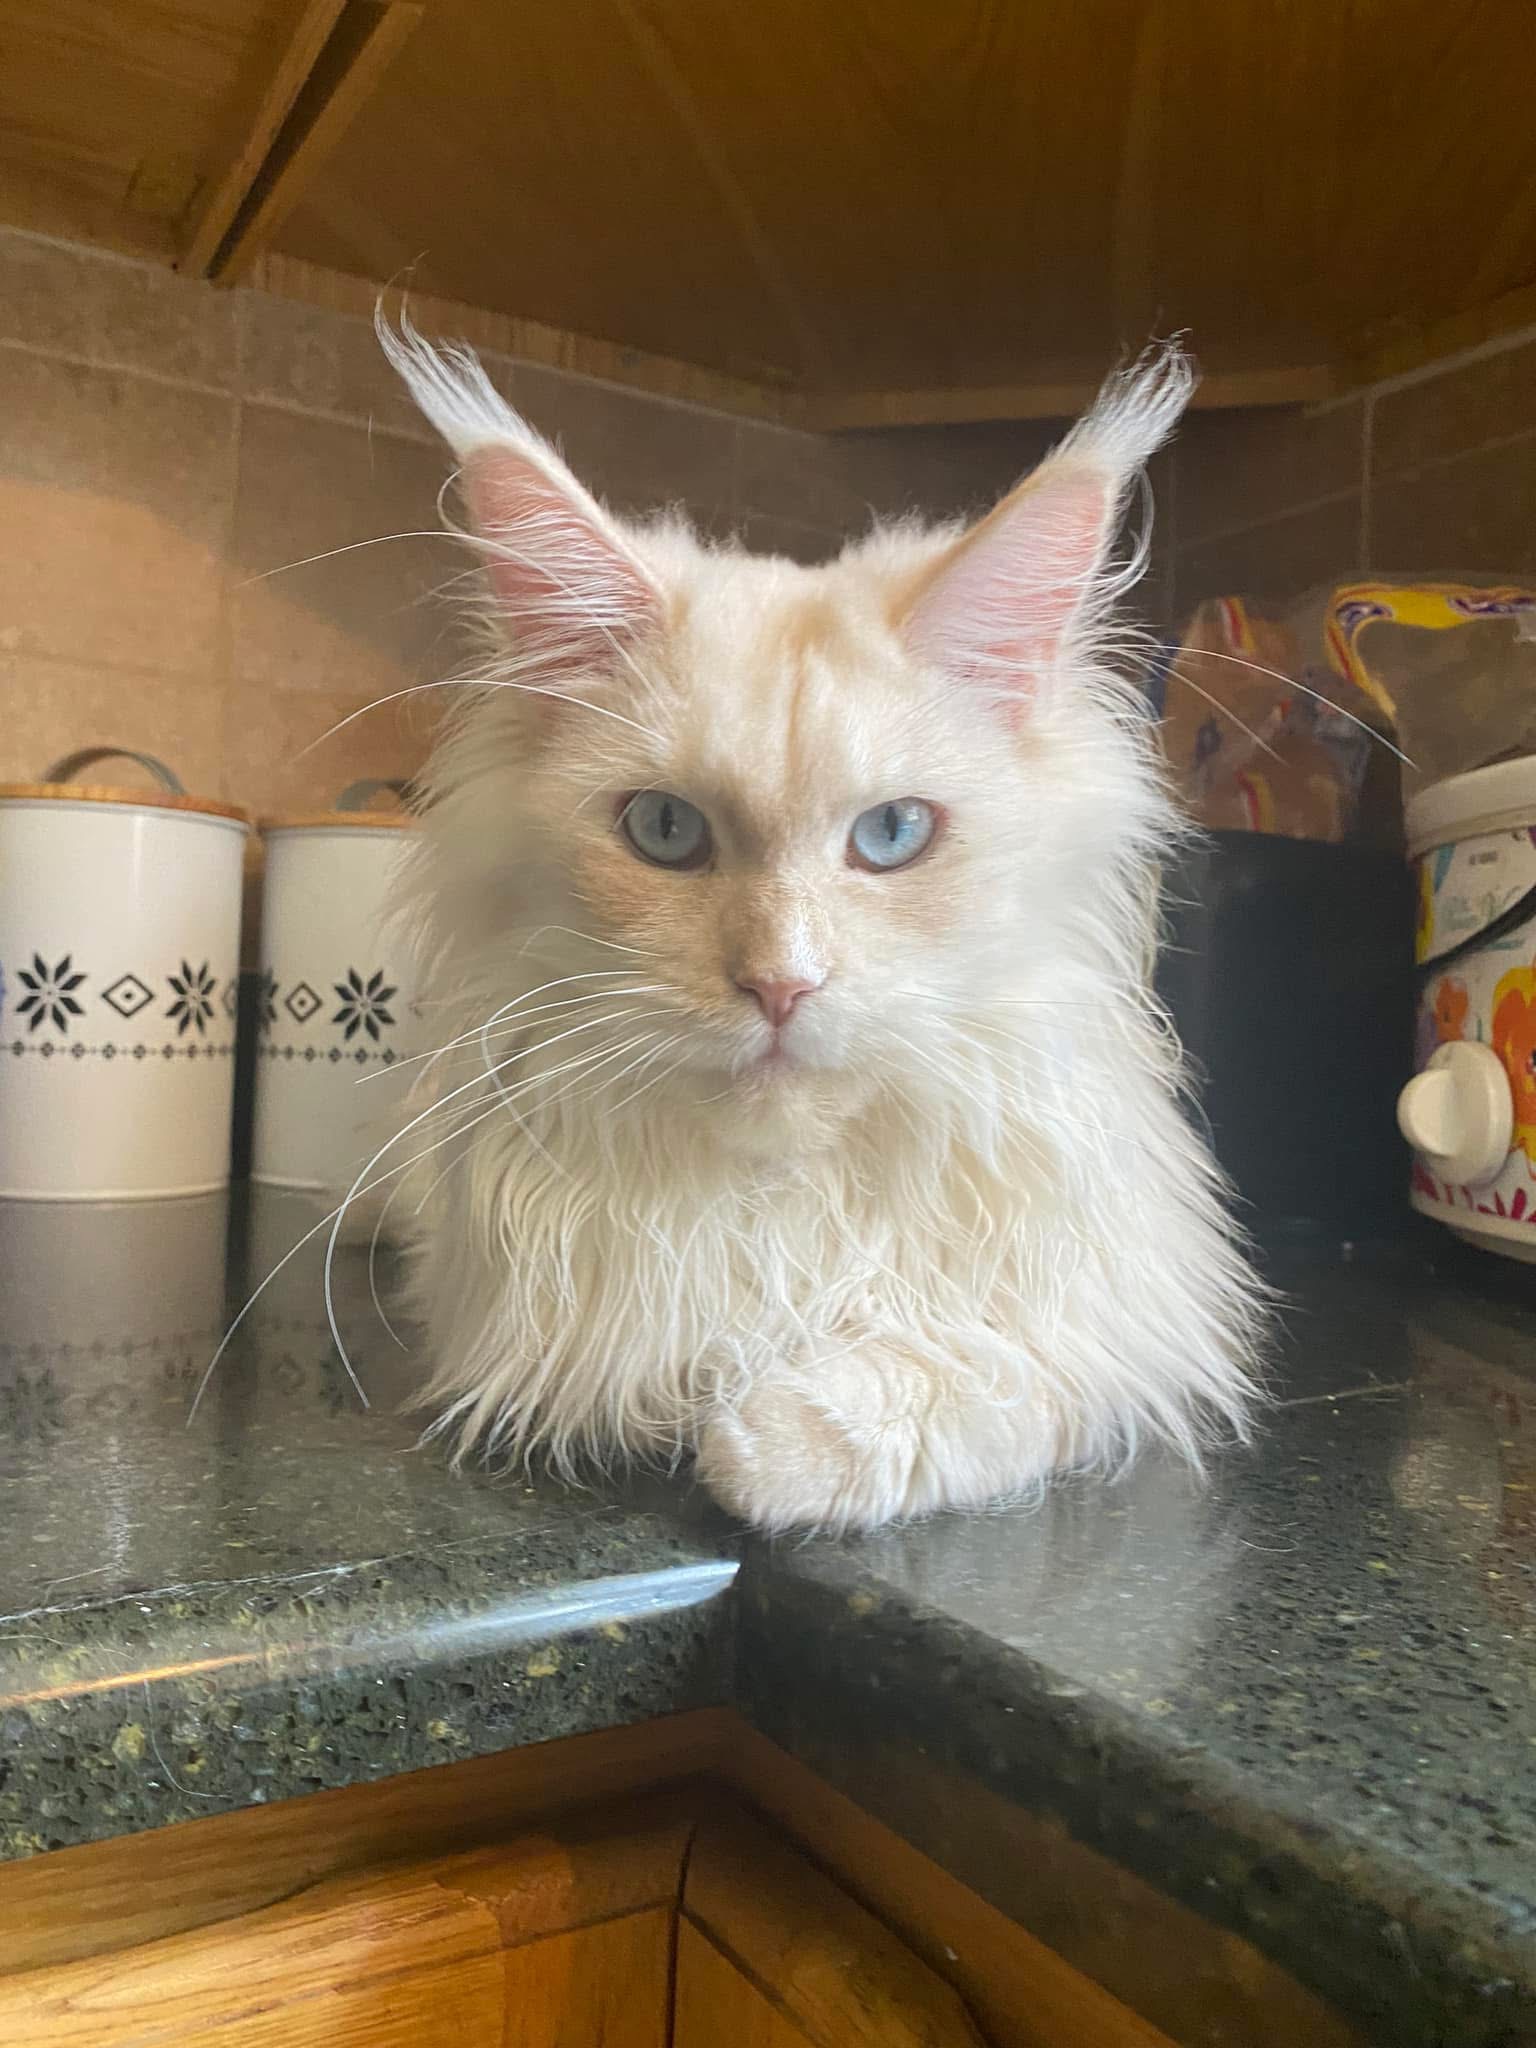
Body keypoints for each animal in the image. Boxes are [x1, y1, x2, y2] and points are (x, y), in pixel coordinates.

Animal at [374, 324, 1262, 1532]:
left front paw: (762, 1442)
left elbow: (961, 1383)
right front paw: (718, 1409)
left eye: (892, 834)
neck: (786, 1205)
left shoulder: (1126, 1328)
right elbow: (638, 1369)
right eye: (664, 830)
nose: (780, 985)